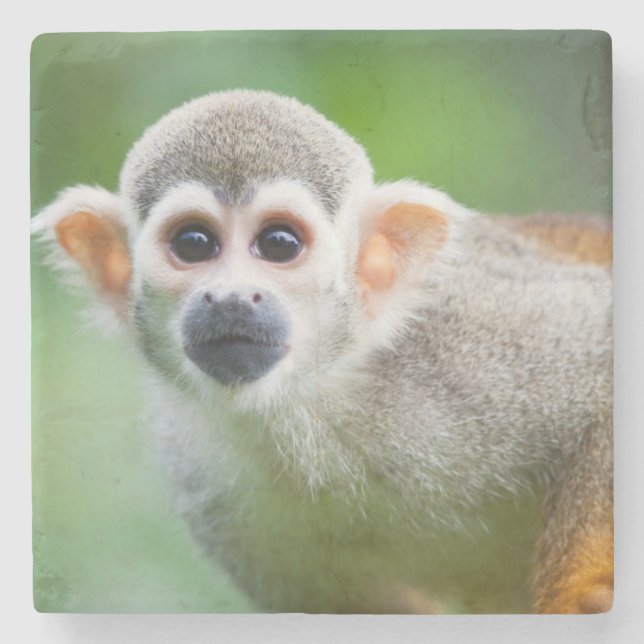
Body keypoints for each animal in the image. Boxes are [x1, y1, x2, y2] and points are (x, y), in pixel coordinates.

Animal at [31, 89, 612, 614]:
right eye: (194, 244)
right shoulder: (204, 479)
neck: (311, 403)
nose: (232, 298)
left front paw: (584, 600)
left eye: (279, 244)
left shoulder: (467, 339)